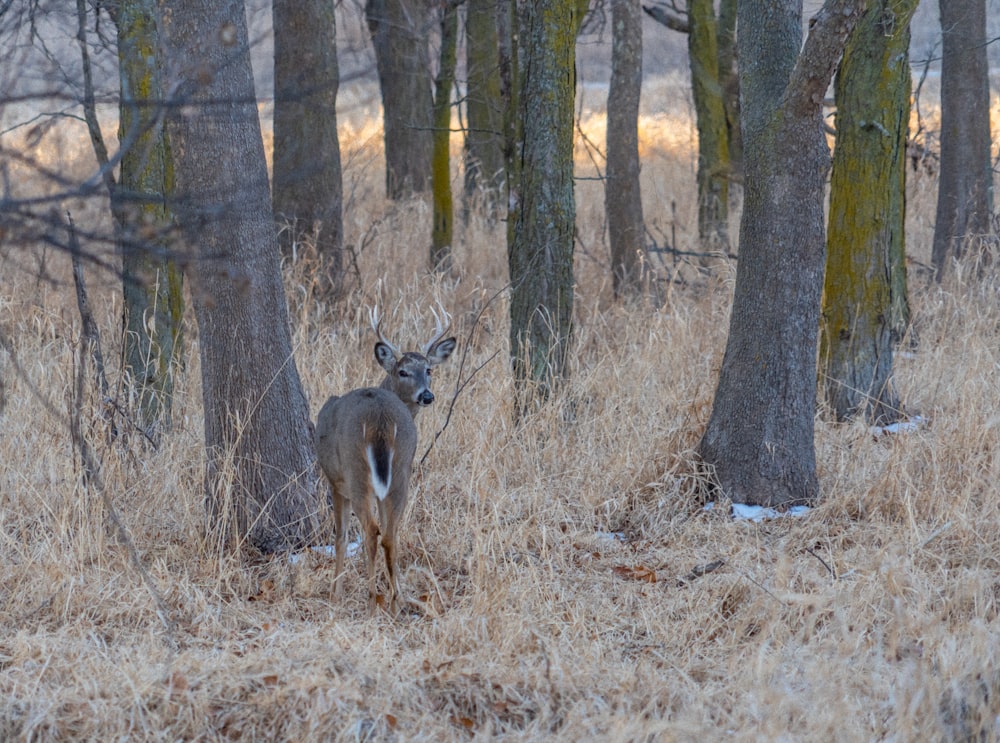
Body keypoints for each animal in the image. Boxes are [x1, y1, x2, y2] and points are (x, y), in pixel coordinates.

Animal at [316, 306, 458, 612]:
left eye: (429, 370)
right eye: (403, 371)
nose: (427, 395)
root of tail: (380, 418)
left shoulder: (335, 481)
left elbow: (341, 536)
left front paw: (335, 593)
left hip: (356, 471)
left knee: (372, 531)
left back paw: (371, 602)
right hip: (403, 469)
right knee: (391, 534)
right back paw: (395, 602)